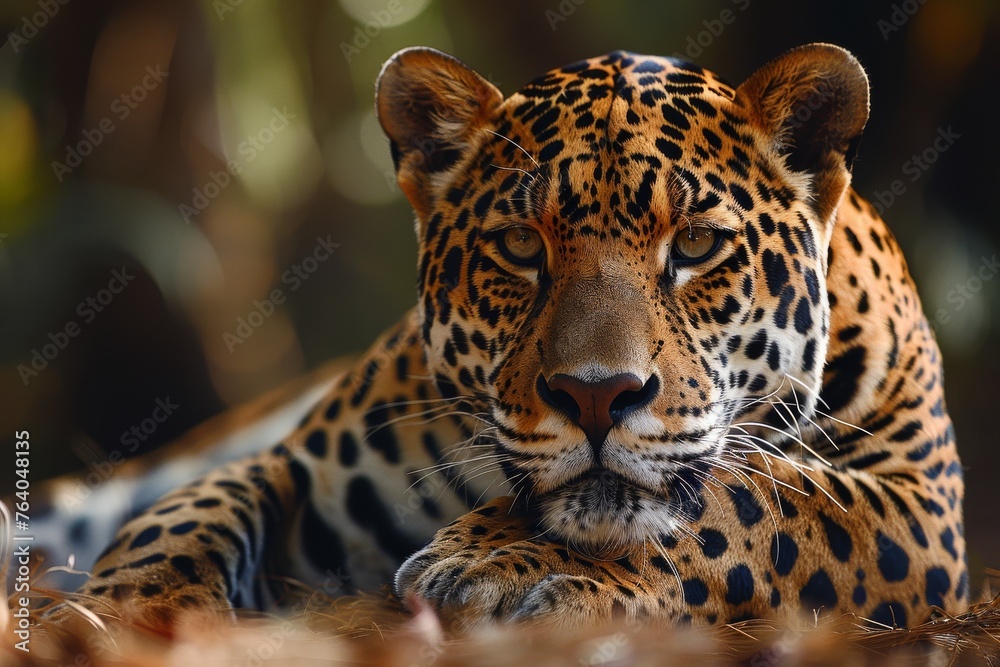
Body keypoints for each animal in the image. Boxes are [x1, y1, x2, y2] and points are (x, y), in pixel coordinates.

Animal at [23, 43, 967, 634]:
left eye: (697, 244)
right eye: (520, 245)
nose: (597, 395)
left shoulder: (919, 503)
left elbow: (766, 498)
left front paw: (501, 559)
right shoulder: (291, 467)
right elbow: (179, 523)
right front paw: (121, 616)